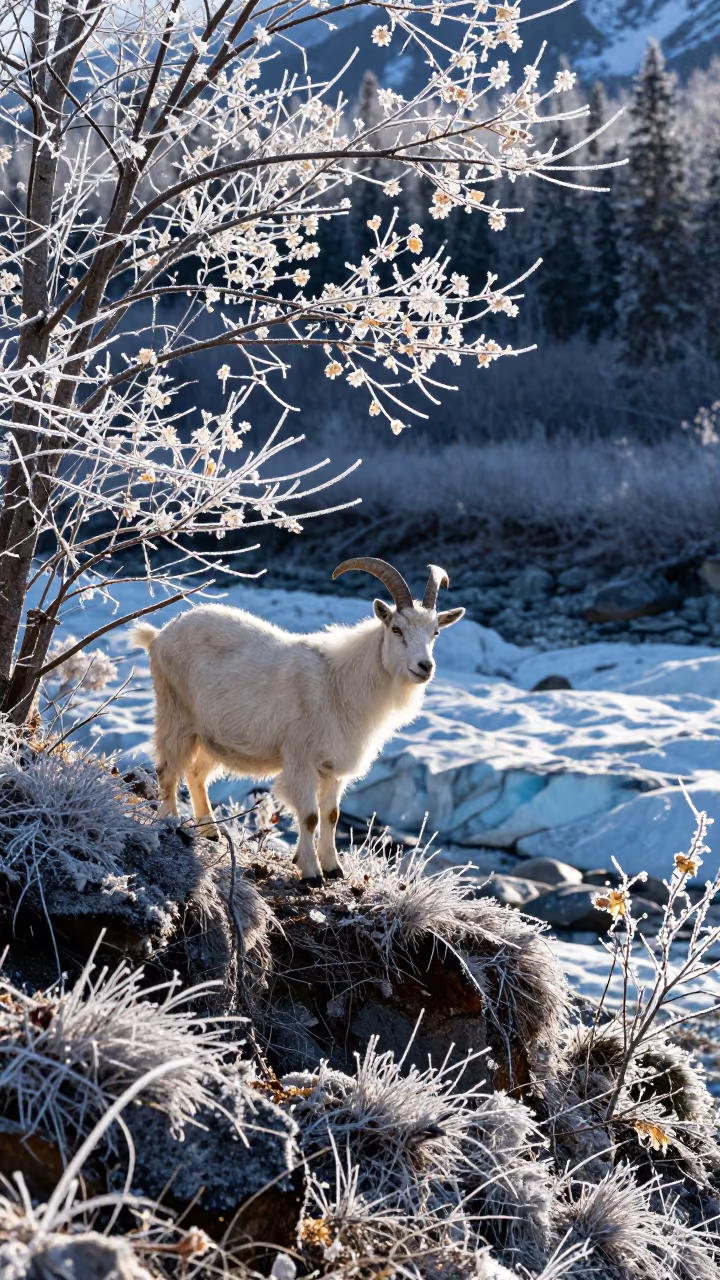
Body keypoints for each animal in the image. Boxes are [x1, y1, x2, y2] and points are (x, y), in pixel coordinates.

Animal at [132, 558, 464, 885]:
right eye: (396, 629)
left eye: (435, 632)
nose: (425, 666)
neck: (339, 682)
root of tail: (158, 636)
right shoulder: (301, 760)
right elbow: (309, 816)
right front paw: (311, 873)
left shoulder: (333, 768)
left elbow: (331, 815)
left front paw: (333, 868)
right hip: (176, 714)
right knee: (167, 770)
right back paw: (171, 823)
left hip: (211, 735)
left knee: (196, 774)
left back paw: (211, 831)